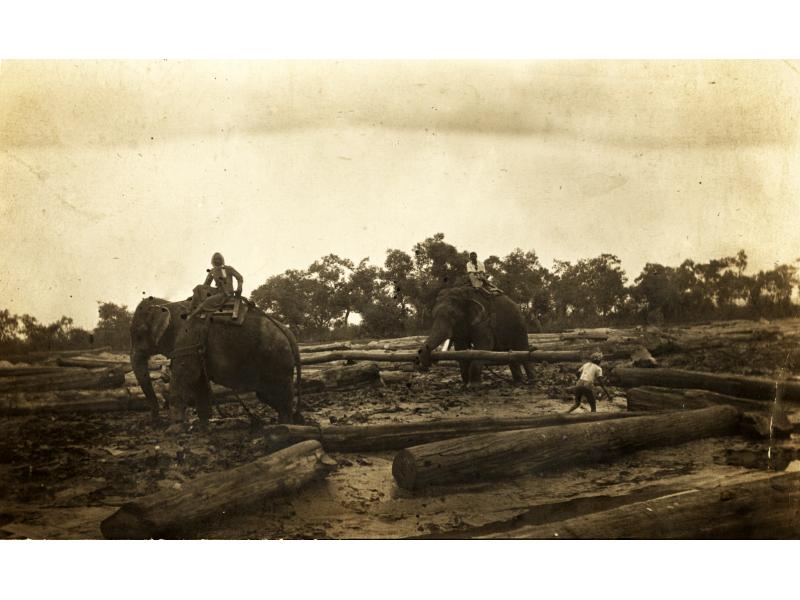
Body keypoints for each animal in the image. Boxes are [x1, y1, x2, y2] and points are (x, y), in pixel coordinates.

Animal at [128, 292, 304, 424]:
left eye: (139, 335)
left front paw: (174, 429)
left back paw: (283, 425)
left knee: (281, 393)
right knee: (267, 395)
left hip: (277, 359)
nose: (155, 420)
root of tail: (290, 335)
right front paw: (203, 426)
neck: (169, 304)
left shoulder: (189, 337)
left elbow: (185, 375)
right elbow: (199, 381)